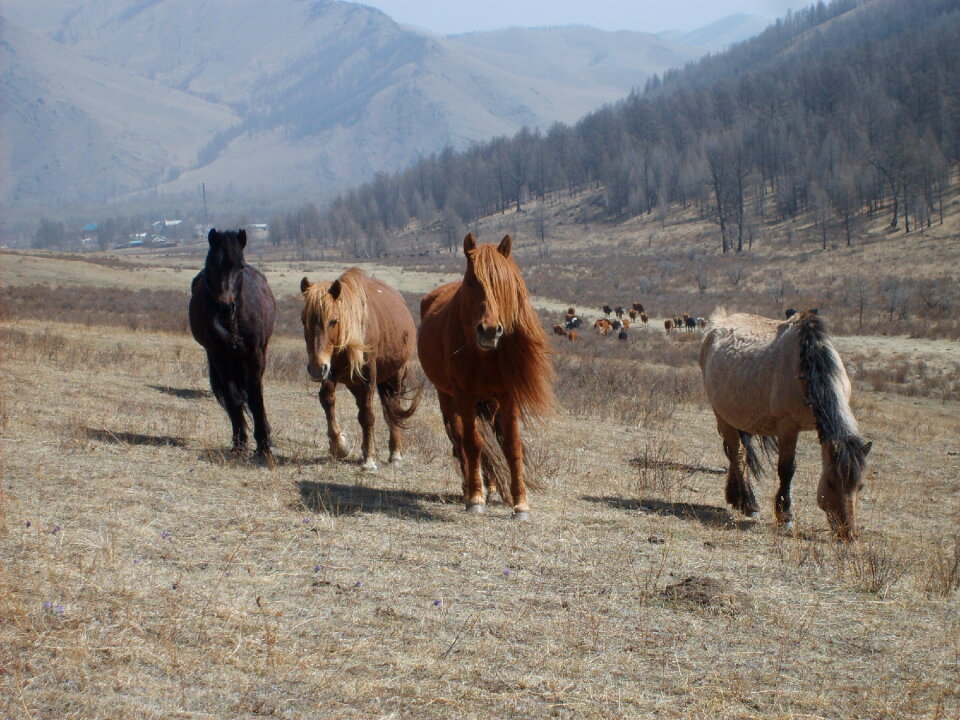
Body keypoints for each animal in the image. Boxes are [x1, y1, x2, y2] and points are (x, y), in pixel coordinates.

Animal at [188, 229, 276, 466]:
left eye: (241, 266)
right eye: (211, 266)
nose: (226, 307)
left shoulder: (254, 356)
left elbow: (256, 398)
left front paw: (264, 445)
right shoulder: (220, 357)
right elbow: (234, 398)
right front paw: (239, 444)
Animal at [300, 268, 420, 470]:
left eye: (333, 321)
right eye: (304, 320)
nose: (316, 368)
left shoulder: (368, 376)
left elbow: (368, 415)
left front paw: (370, 460)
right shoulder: (331, 372)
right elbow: (328, 401)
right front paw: (340, 446)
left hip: (394, 376)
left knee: (392, 409)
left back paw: (395, 453)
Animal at [420, 232, 556, 516]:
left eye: (503, 283)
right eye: (471, 282)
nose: (490, 331)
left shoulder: (508, 396)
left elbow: (512, 446)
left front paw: (520, 503)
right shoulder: (464, 396)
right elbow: (473, 443)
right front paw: (475, 498)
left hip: (490, 402)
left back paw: (492, 487)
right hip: (447, 397)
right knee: (459, 440)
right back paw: (469, 488)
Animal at [696, 310, 872, 540]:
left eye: (860, 486)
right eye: (831, 483)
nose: (848, 533)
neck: (807, 368)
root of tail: (716, 325)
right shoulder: (788, 428)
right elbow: (787, 469)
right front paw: (785, 516)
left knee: (738, 452)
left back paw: (737, 499)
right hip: (721, 414)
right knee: (737, 454)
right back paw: (750, 504)